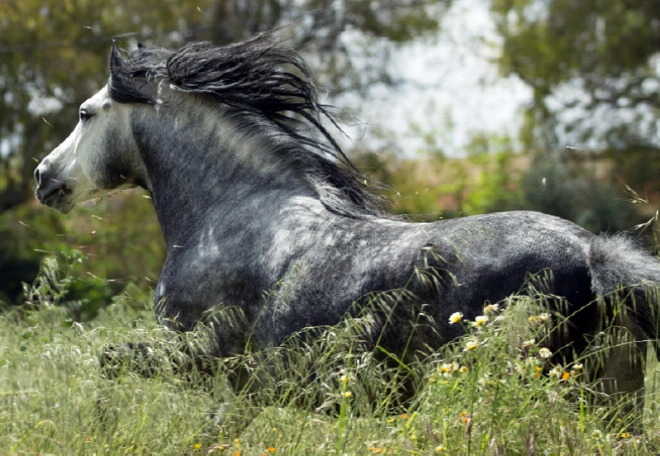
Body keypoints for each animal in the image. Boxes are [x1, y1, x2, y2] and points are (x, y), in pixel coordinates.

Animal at [34, 32, 660, 427]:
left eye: (85, 113)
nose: (43, 177)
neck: (232, 215)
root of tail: (592, 253)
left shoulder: (201, 360)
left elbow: (108, 366)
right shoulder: (246, 391)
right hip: (610, 396)